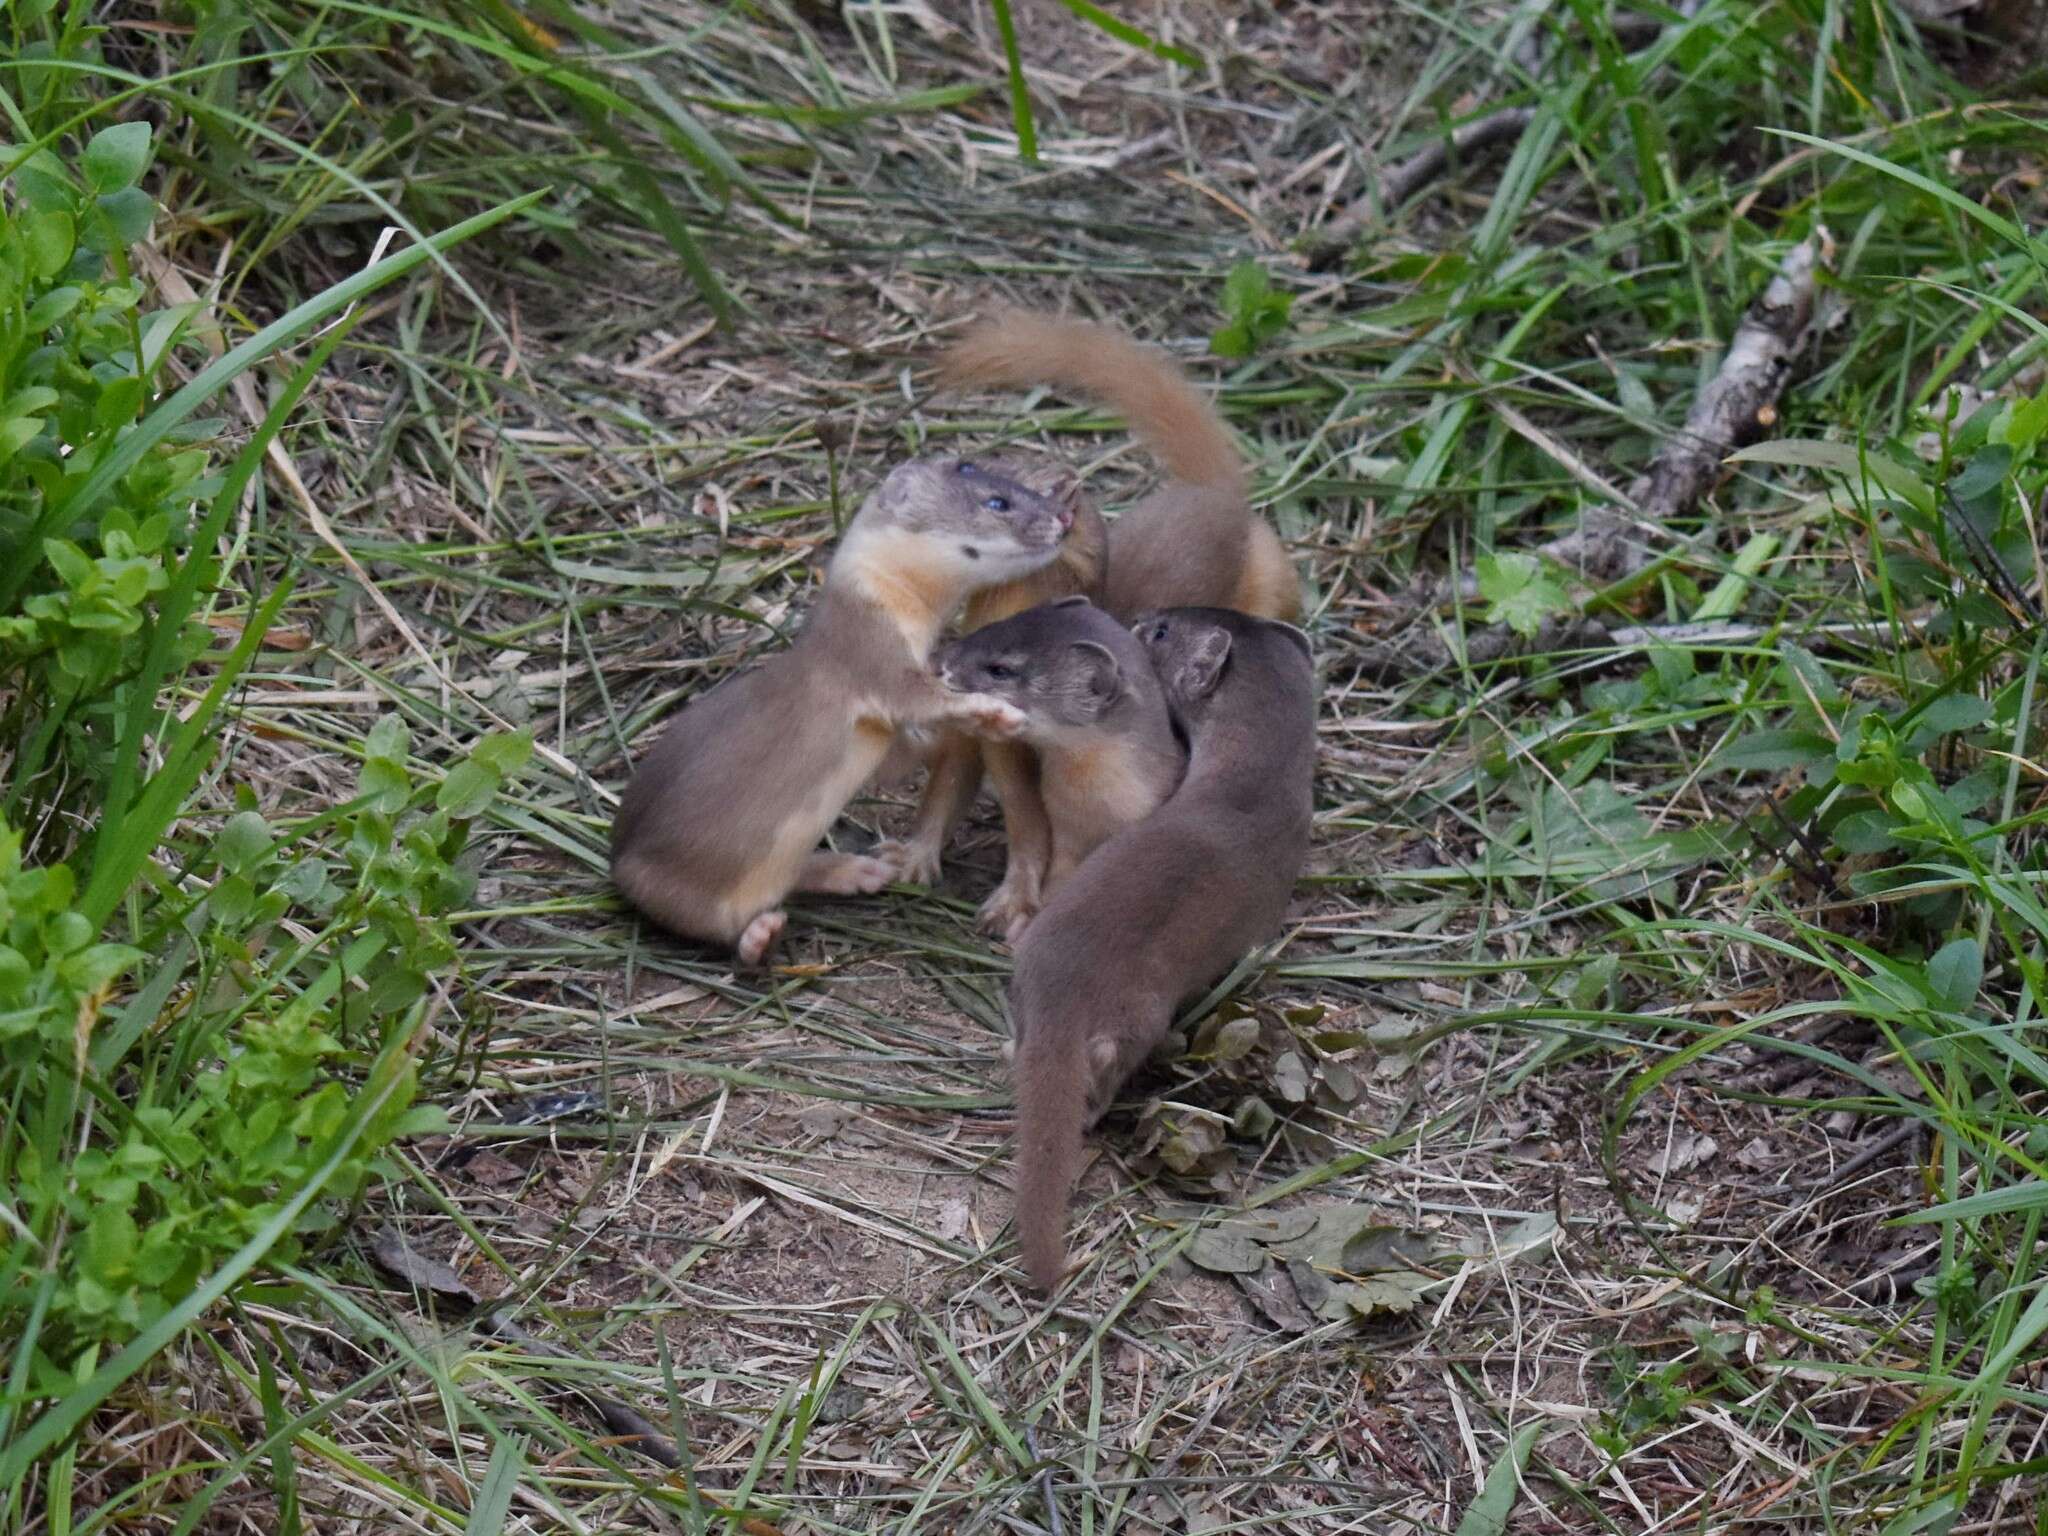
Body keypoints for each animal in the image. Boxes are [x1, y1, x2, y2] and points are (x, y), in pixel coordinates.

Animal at [606, 450, 1081, 966]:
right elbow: (923, 698)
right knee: (723, 932)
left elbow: (904, 757)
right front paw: (999, 712)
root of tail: (617, 856)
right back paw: (763, 933)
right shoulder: (871, 657)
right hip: (679, 887)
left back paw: (858, 871)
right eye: (998, 501)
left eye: (1025, 487)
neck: (899, 609)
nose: (1065, 517)